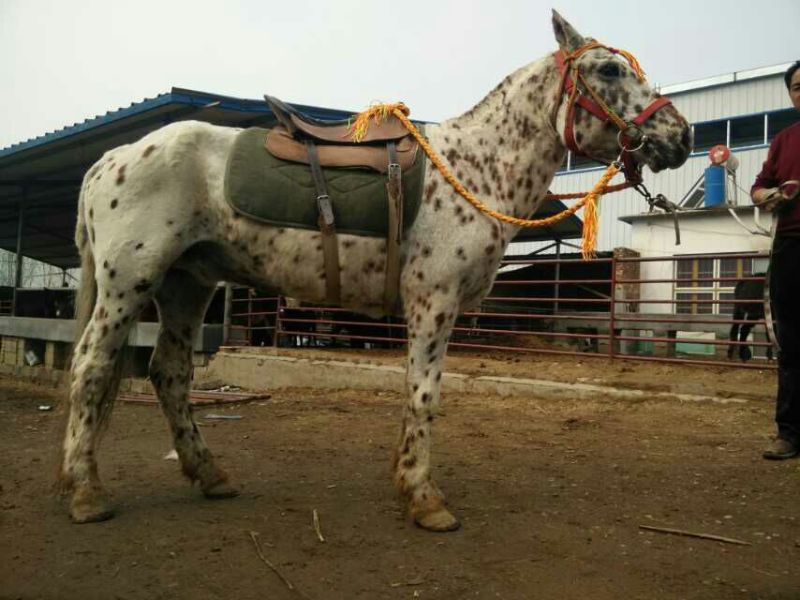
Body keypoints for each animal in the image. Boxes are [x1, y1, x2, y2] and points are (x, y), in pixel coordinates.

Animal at [60, 11, 692, 530]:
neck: (475, 167)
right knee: (91, 367)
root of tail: (109, 161)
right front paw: (424, 498)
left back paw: (209, 474)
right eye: (609, 69)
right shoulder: (433, 302)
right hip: (128, 283)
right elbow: (424, 393)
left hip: (186, 286)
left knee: (169, 373)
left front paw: (407, 480)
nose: (680, 136)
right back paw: (85, 491)